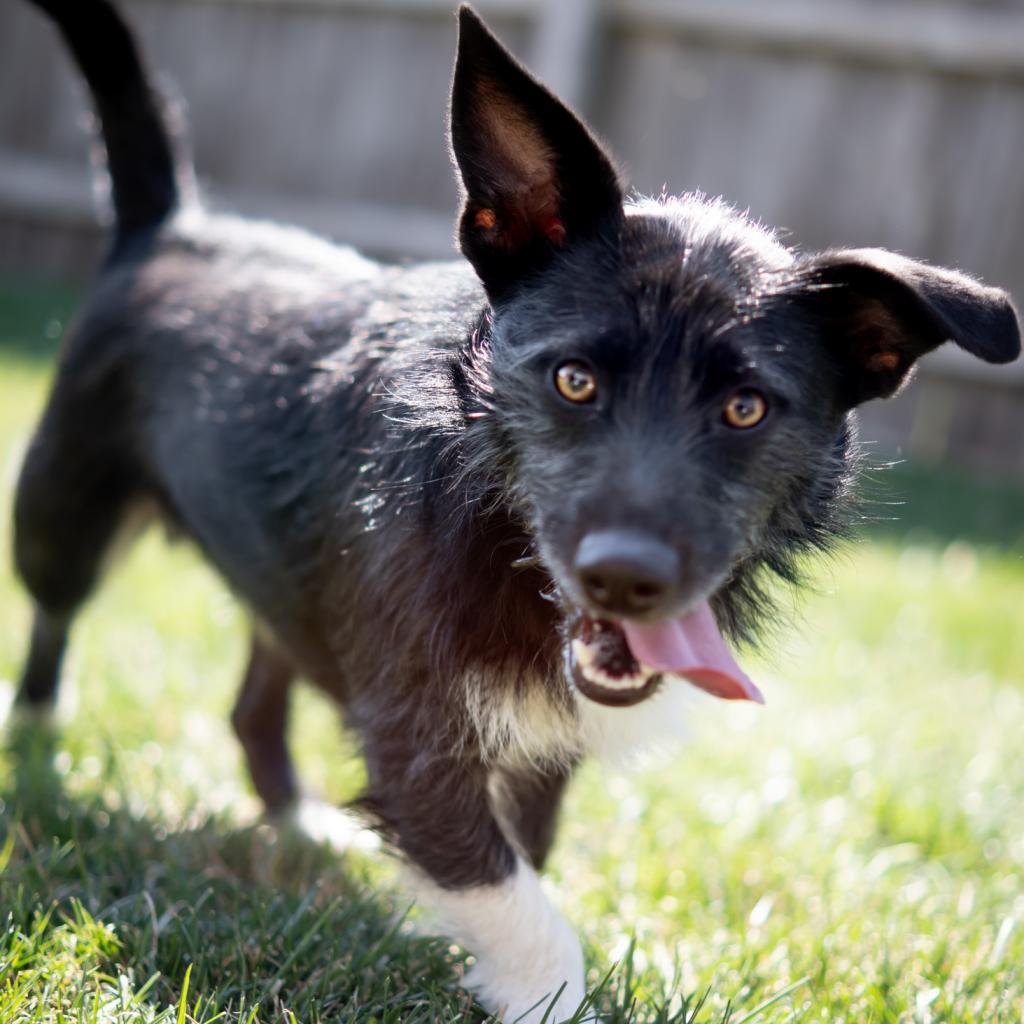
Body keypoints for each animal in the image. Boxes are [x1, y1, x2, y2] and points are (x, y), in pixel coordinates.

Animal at [12, 4, 1019, 1019]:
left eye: (746, 408)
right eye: (574, 380)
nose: (626, 576)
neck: (485, 514)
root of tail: (173, 224)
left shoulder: (536, 739)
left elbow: (523, 852)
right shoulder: (417, 734)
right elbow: (510, 893)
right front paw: (543, 987)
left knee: (257, 697)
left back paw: (297, 824)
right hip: (60, 511)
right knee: (55, 612)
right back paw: (36, 738)